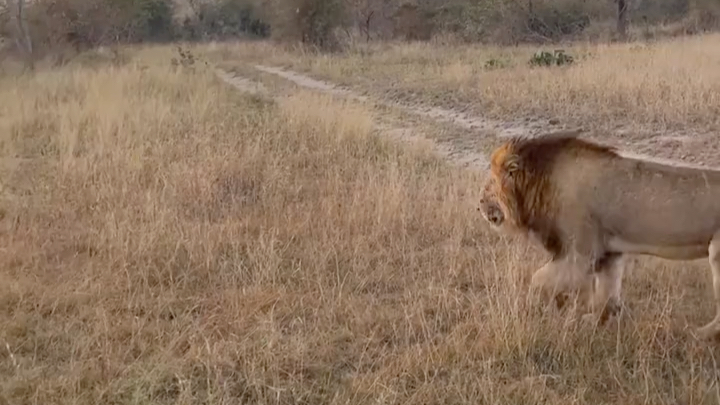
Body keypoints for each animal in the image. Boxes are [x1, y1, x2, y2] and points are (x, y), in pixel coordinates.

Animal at [478, 129, 720, 338]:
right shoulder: (608, 254)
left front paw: (535, 310)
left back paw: (700, 335)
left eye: (491, 182)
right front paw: (595, 322)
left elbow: (537, 280)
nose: (479, 203)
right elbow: (606, 295)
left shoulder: (579, 255)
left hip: (717, 254)